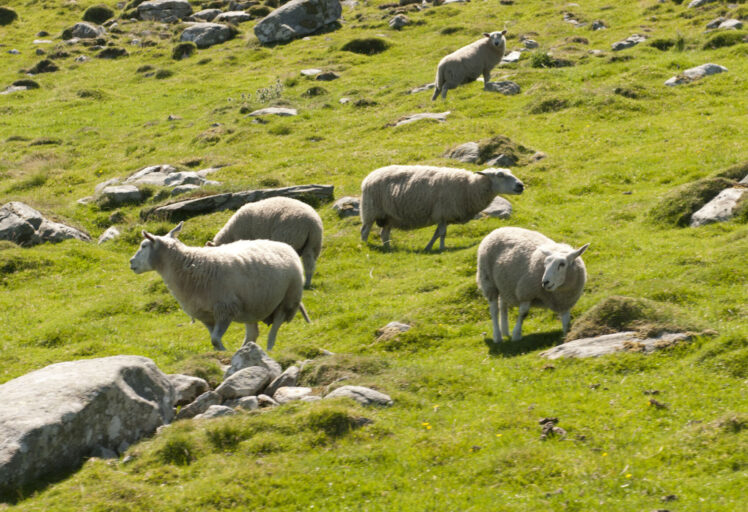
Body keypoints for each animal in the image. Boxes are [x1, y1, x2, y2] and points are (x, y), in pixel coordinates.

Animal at [130, 222, 312, 350]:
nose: (131, 262)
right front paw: (221, 354)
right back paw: (245, 349)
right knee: (253, 333)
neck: (189, 265)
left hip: (288, 299)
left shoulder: (225, 308)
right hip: (251, 306)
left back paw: (269, 348)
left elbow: (216, 340)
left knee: (275, 327)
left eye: (144, 246)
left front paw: (225, 352)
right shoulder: (205, 315)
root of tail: (284, 245)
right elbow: (214, 341)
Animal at [360, 165, 524, 251]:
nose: (520, 185)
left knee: (384, 233)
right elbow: (442, 234)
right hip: (371, 211)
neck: (469, 187)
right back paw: (364, 245)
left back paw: (388, 248)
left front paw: (428, 247)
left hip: (389, 216)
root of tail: (369, 177)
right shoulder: (443, 213)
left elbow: (436, 233)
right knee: (365, 230)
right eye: (500, 175)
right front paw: (441, 248)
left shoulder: (442, 216)